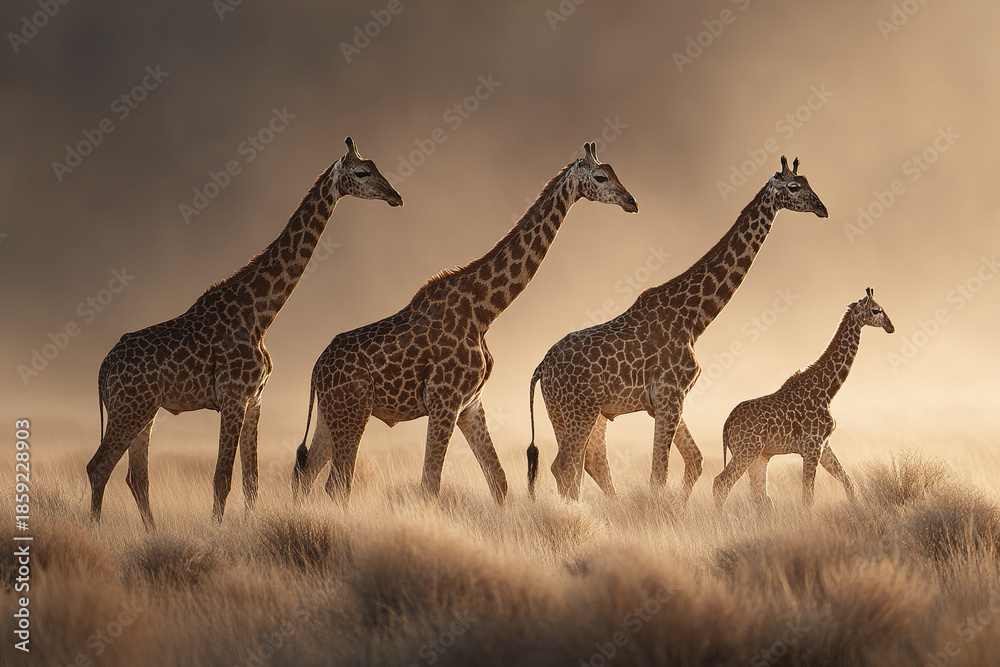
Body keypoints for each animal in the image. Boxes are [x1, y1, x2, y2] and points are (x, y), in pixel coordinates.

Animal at [87, 138, 402, 528]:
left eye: (377, 168)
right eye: (361, 172)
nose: (395, 196)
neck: (261, 314)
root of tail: (103, 368)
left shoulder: (255, 399)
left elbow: (251, 481)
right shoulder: (233, 396)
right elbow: (222, 478)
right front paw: (215, 531)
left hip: (145, 410)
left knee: (136, 476)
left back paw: (151, 533)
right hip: (128, 408)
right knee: (99, 466)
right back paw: (95, 529)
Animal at [292, 142, 638, 504]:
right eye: (600, 177)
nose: (632, 201)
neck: (485, 311)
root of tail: (316, 369)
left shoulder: (470, 403)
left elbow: (498, 480)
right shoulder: (444, 400)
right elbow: (430, 484)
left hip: (330, 415)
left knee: (306, 475)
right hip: (352, 410)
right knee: (336, 484)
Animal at [526, 157, 828, 501]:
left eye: (807, 182)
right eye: (793, 187)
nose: (822, 208)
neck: (694, 319)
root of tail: (541, 368)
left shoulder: (670, 400)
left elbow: (695, 461)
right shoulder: (670, 396)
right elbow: (659, 473)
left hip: (569, 412)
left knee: (585, 465)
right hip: (580, 409)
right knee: (566, 466)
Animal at [713, 288, 894, 510]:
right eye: (877, 310)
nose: (891, 326)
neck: (827, 391)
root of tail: (726, 424)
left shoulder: (824, 445)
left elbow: (849, 483)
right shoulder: (812, 447)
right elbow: (808, 497)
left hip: (759, 456)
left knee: (761, 496)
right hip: (746, 450)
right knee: (722, 482)